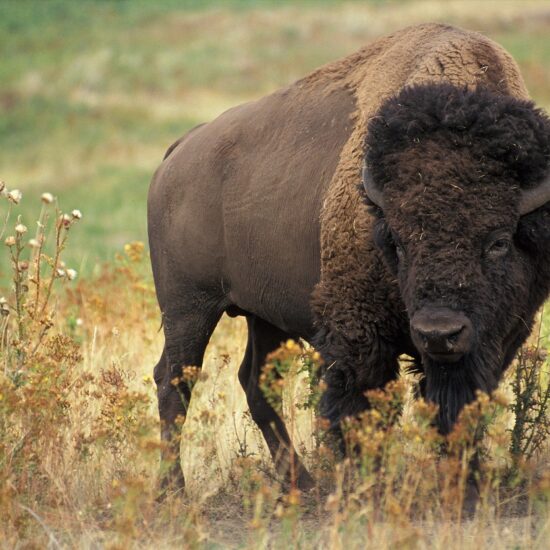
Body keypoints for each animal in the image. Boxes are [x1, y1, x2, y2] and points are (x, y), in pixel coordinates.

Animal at [149, 23, 550, 494]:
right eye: (396, 241)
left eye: (499, 241)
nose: (438, 333)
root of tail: (179, 151)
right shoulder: (358, 333)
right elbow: (359, 408)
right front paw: (366, 484)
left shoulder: (494, 340)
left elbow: (458, 409)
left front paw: (463, 483)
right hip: (188, 308)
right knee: (174, 381)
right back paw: (174, 490)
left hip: (263, 315)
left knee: (255, 382)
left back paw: (300, 485)